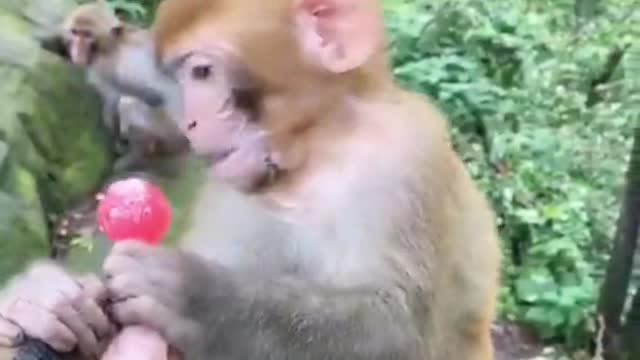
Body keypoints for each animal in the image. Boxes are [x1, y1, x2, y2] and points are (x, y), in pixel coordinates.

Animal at [0, 0, 500, 358]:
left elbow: (401, 333)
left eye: (202, 71)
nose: (192, 121)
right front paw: (46, 305)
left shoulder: (403, 162)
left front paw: (197, 297)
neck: (309, 158)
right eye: (183, 76)